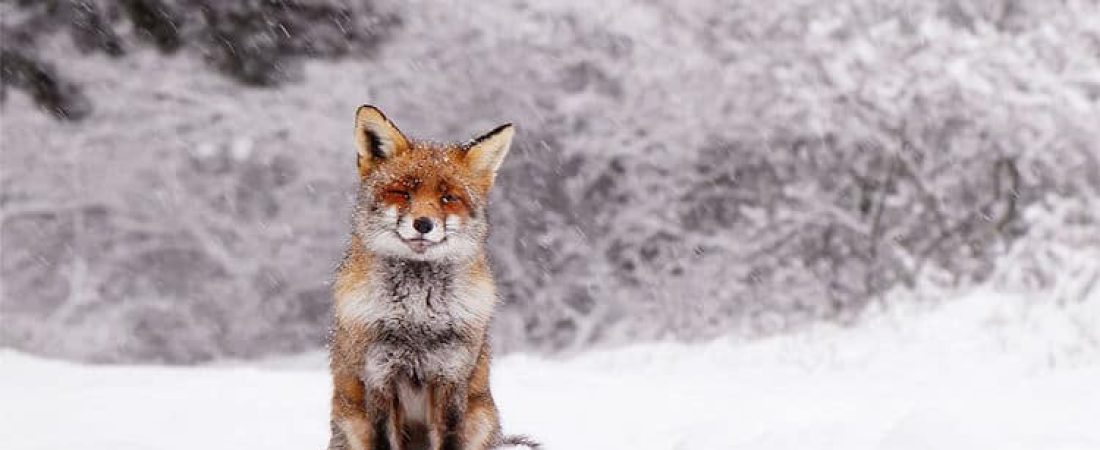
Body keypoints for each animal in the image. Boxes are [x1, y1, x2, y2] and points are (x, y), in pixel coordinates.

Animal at [325, 106, 536, 448]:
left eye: (448, 198)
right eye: (402, 193)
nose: (423, 224)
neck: (417, 316)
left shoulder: (450, 377)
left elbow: (449, 439)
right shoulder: (379, 377)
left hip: (479, 419)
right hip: (352, 421)